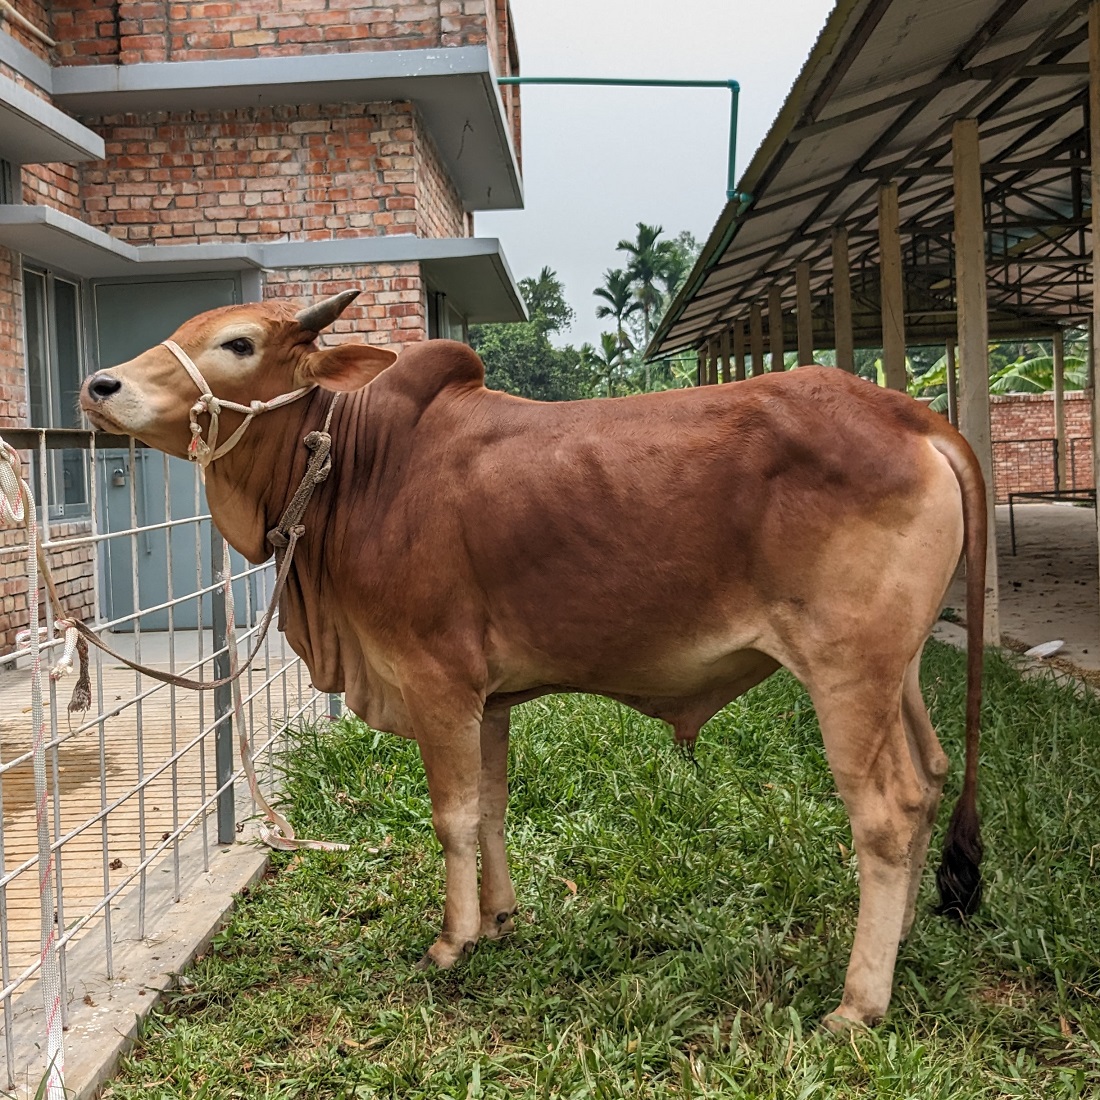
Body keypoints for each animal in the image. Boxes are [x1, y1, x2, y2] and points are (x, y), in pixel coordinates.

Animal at [79, 288, 990, 1025]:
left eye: (237, 343)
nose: (99, 386)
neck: (354, 469)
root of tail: (915, 419)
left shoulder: (438, 681)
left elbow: (451, 815)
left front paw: (451, 941)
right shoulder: (487, 699)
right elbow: (489, 806)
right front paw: (500, 919)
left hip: (846, 671)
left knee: (889, 813)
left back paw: (860, 1001)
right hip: (898, 671)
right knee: (933, 777)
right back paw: (902, 940)